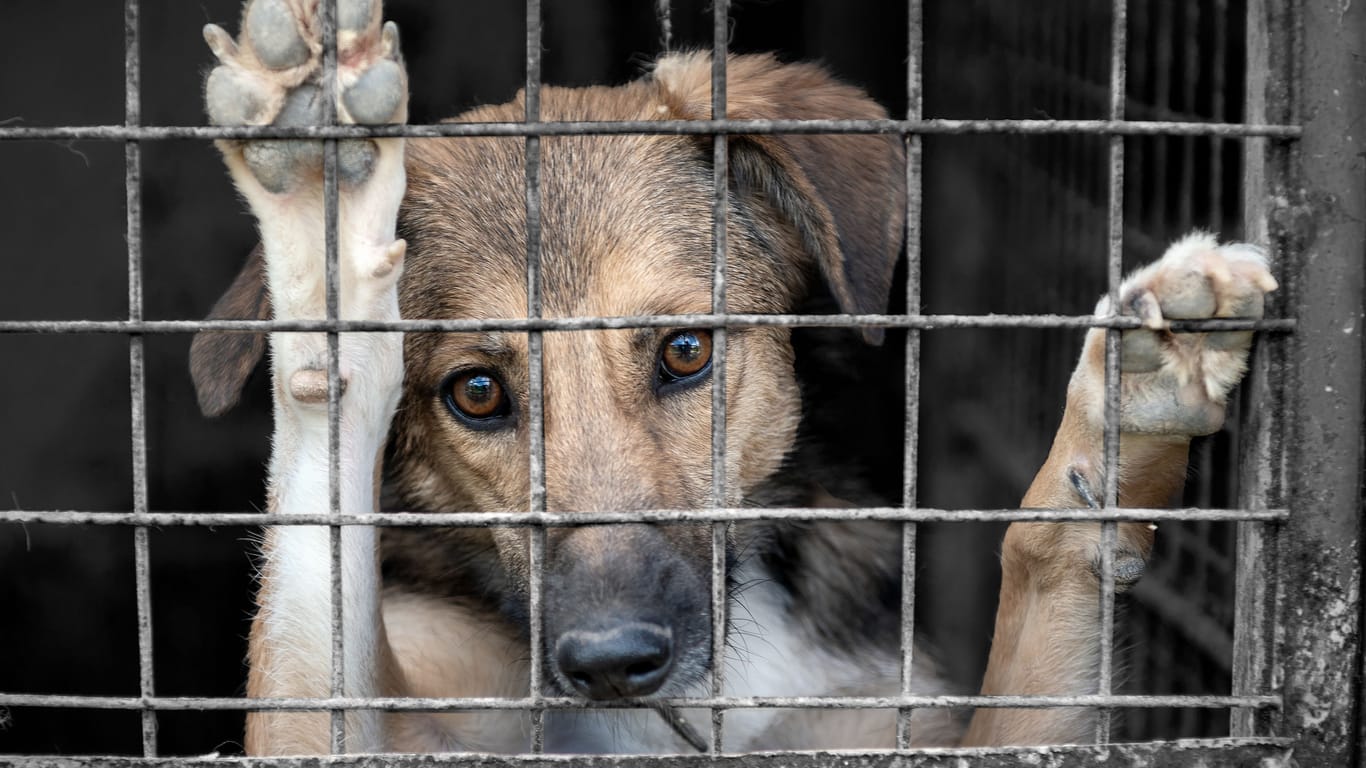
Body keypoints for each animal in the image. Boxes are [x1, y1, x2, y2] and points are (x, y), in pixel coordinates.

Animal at [189, 0, 1278, 754]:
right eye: (476, 393)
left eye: (685, 352)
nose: (612, 665)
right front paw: (325, 223)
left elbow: (1042, 553)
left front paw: (1124, 409)